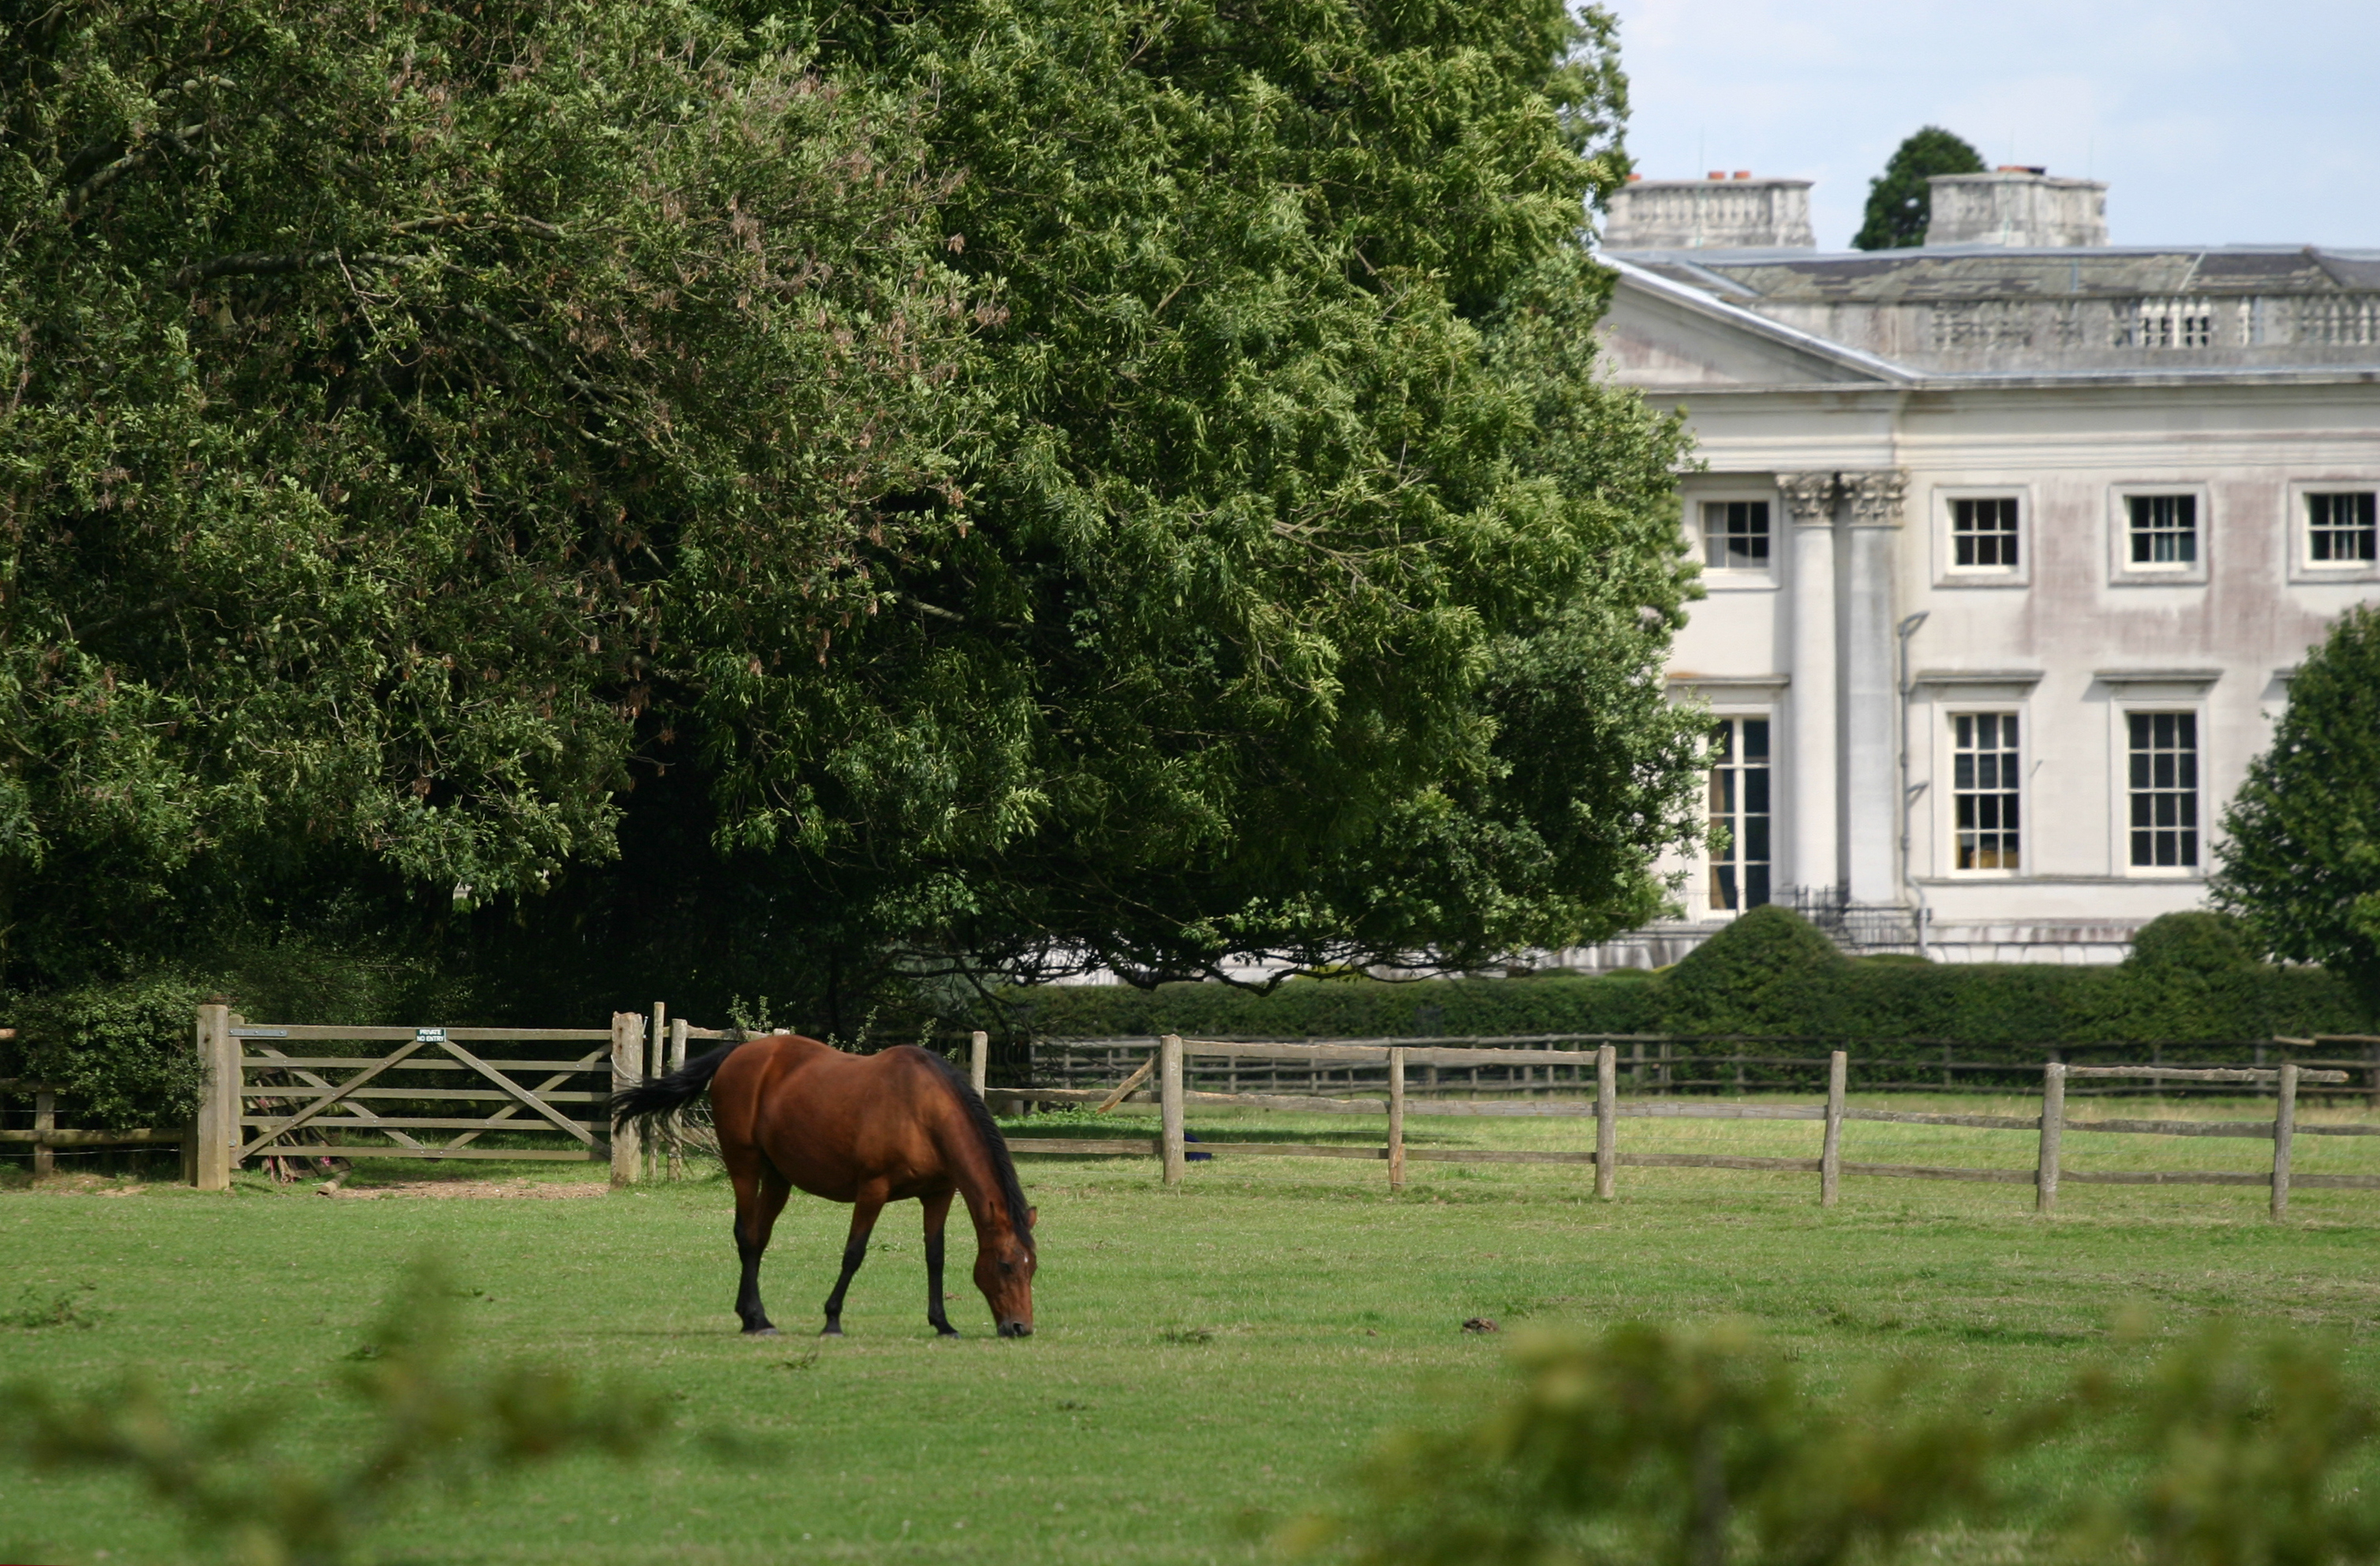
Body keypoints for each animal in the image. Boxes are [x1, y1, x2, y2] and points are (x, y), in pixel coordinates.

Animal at [609, 1032, 1037, 1332]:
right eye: (1005, 1265)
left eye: (1031, 1267)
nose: (1020, 1327)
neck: (923, 1111)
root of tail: (738, 1053)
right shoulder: (873, 1190)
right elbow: (854, 1253)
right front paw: (832, 1320)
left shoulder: (938, 1194)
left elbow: (936, 1256)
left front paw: (943, 1323)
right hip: (744, 1165)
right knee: (746, 1235)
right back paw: (757, 1321)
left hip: (777, 1177)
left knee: (758, 1238)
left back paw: (753, 1317)